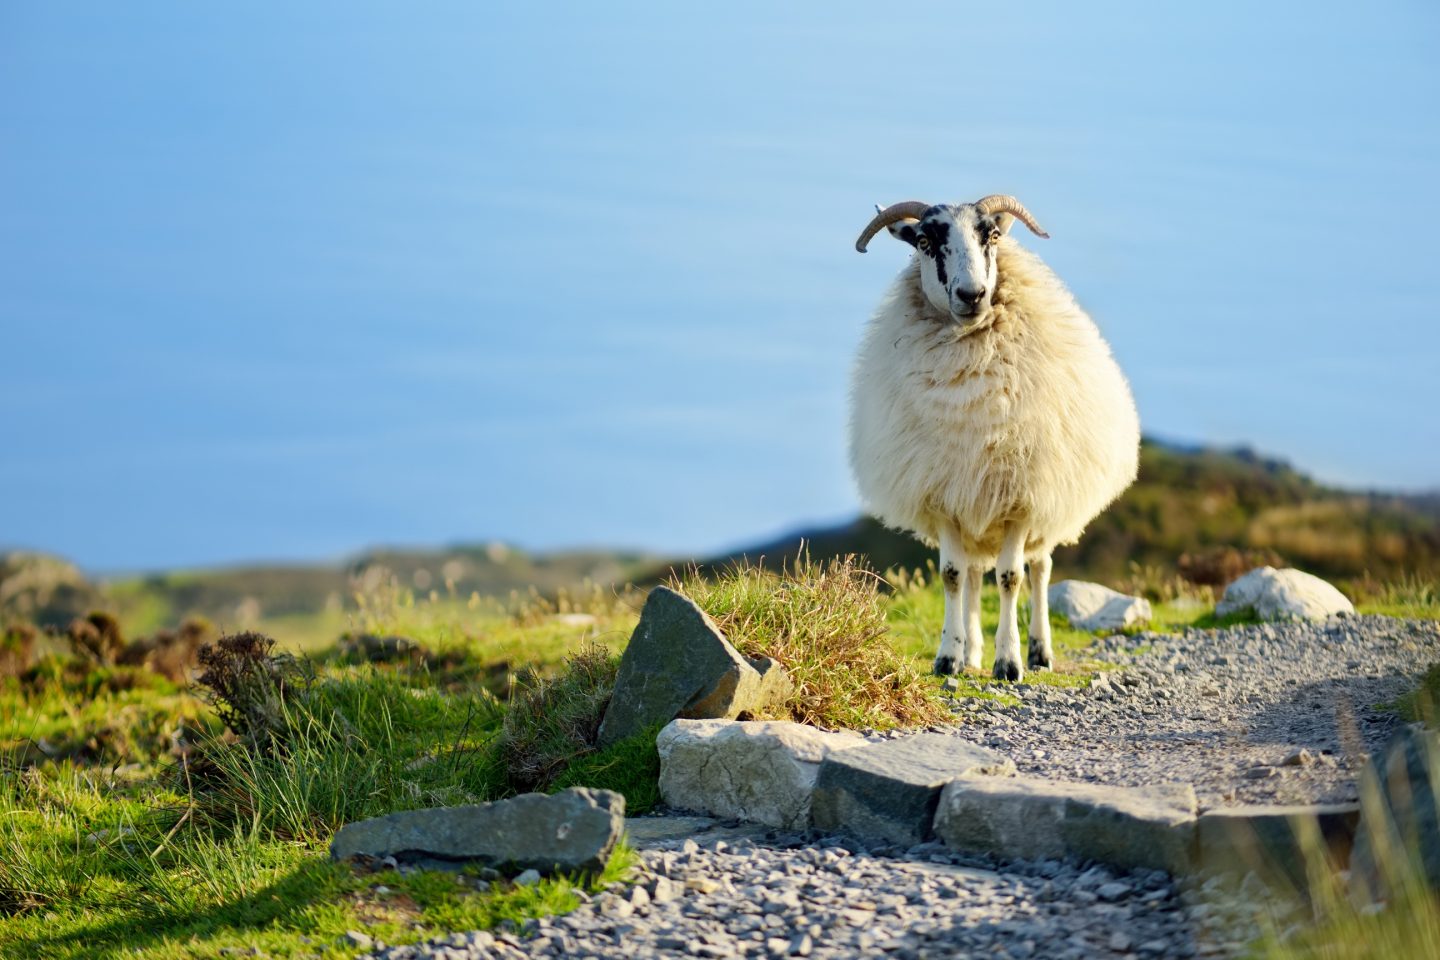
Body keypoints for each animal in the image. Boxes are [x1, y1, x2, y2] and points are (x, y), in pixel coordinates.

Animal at [849, 196, 1140, 682]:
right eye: (924, 240)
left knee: (1040, 570)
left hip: (1047, 505)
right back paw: (971, 654)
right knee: (970, 575)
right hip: (973, 509)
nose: (972, 295)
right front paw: (949, 657)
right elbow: (951, 575)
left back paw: (1040, 651)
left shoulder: (1020, 501)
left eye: (994, 235)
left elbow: (1011, 579)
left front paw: (1010, 661)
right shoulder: (945, 496)